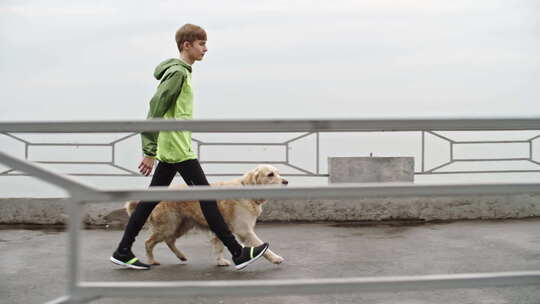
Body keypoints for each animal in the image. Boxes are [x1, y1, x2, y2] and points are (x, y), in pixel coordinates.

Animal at [125, 165, 286, 268]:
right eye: (270, 175)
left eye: (278, 173)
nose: (286, 182)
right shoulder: (244, 230)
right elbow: (262, 246)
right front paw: (275, 258)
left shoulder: (223, 227)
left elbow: (219, 245)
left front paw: (220, 261)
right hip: (168, 226)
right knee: (149, 242)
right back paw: (151, 261)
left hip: (182, 225)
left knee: (169, 241)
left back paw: (181, 256)